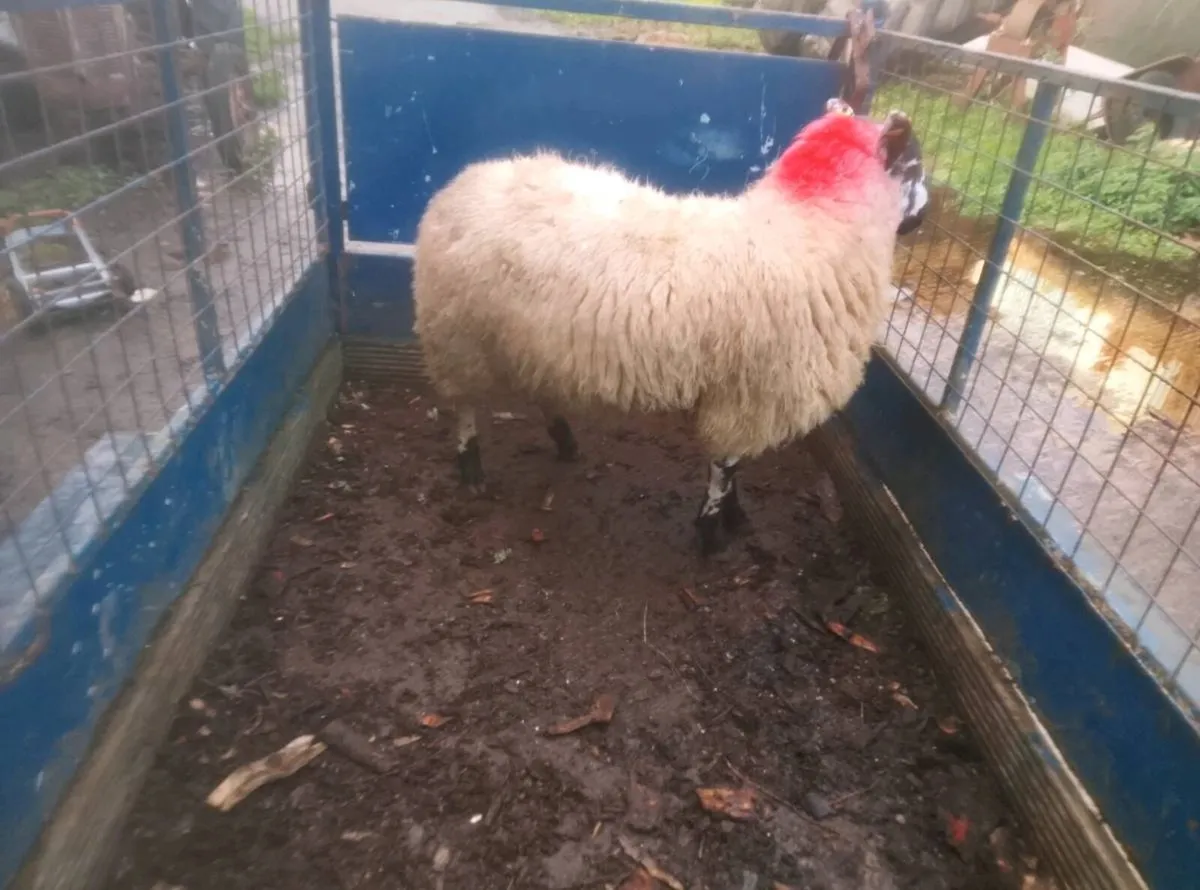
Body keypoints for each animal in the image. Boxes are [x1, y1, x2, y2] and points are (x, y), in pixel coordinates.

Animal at [412, 97, 929, 554]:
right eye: (917, 164)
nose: (925, 217)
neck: (811, 229)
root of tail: (464, 182)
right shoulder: (745, 397)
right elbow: (725, 470)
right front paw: (712, 534)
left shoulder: (741, 397)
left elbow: (734, 470)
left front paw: (735, 520)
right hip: (455, 334)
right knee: (464, 407)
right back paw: (472, 471)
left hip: (530, 339)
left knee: (538, 389)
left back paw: (564, 440)